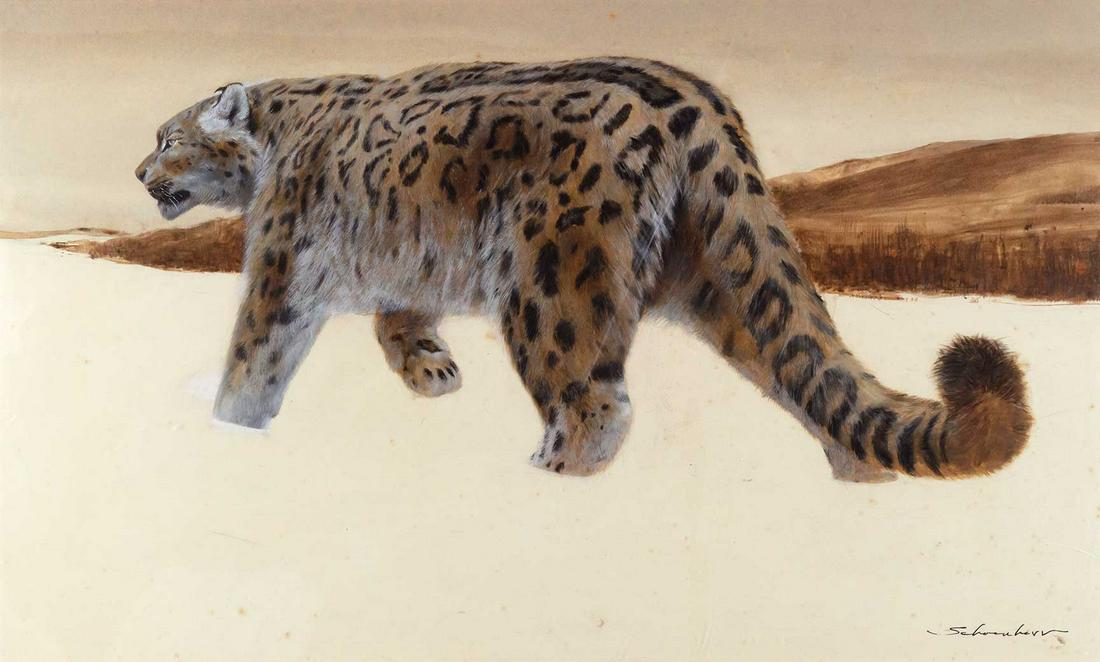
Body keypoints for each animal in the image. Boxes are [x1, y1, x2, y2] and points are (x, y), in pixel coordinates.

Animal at [134, 57, 1032, 481]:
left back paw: (547, 477)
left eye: (170, 137)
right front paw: (432, 370)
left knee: (593, 403)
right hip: (721, 280)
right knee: (804, 371)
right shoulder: (406, 265)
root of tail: (701, 102)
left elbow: (253, 356)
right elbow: (399, 315)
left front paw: (227, 423)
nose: (140, 174)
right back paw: (859, 478)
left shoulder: (280, 264)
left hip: (551, 285)